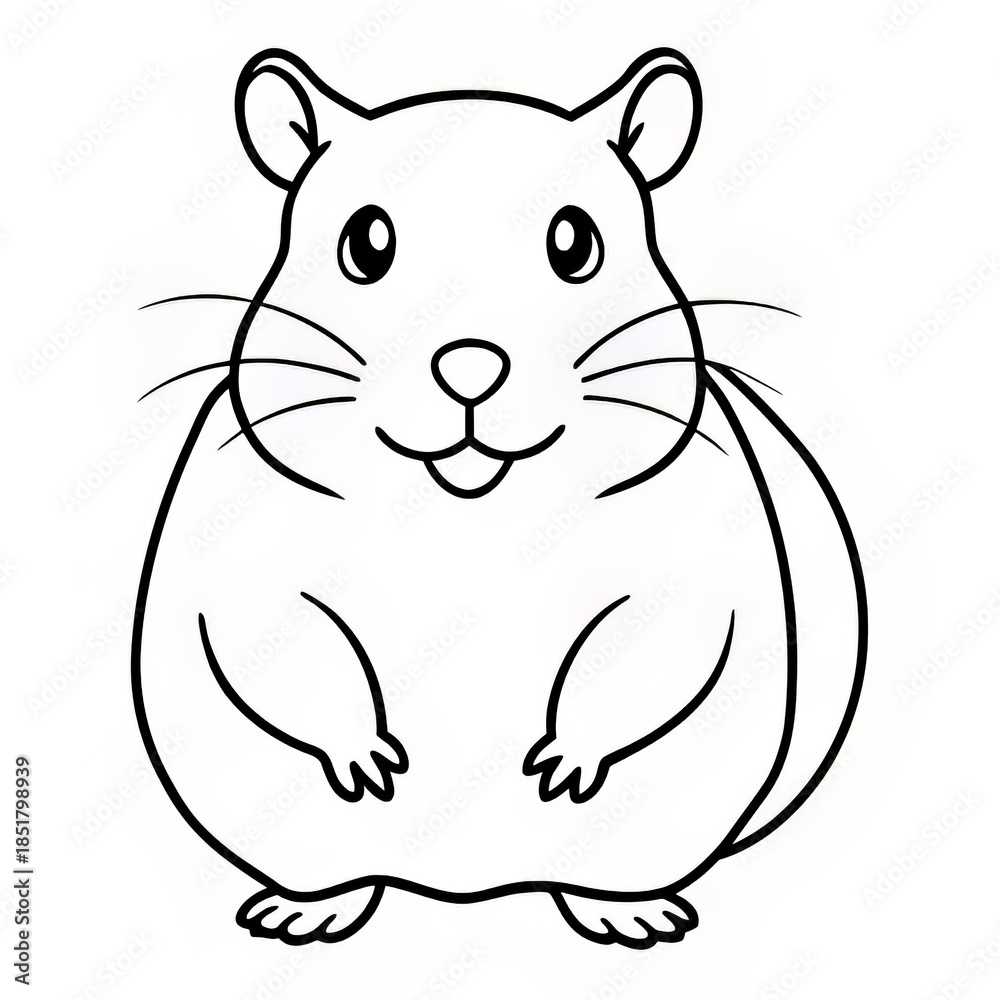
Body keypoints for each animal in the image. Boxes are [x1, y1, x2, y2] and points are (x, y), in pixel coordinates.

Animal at [132, 47, 866, 948]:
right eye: (365, 243)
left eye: (575, 241)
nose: (470, 367)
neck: (469, 509)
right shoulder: (255, 564)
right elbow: (288, 645)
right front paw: (369, 765)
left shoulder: (682, 570)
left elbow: (649, 646)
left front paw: (561, 767)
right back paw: (303, 911)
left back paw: (634, 915)